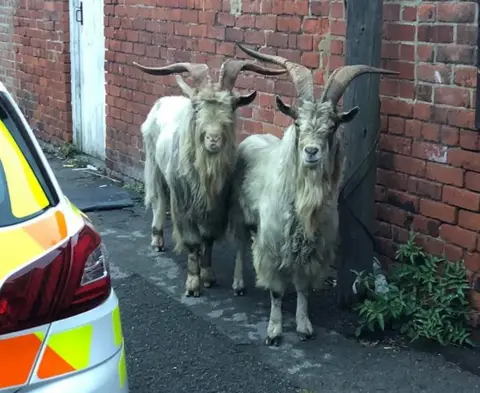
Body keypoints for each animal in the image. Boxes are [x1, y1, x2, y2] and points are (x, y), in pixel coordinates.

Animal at [133, 57, 286, 298]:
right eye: (197, 108)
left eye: (232, 106)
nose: (213, 139)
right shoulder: (184, 204)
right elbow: (193, 242)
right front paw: (193, 284)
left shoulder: (215, 206)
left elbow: (208, 239)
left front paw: (207, 275)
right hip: (154, 163)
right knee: (160, 199)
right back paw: (157, 239)